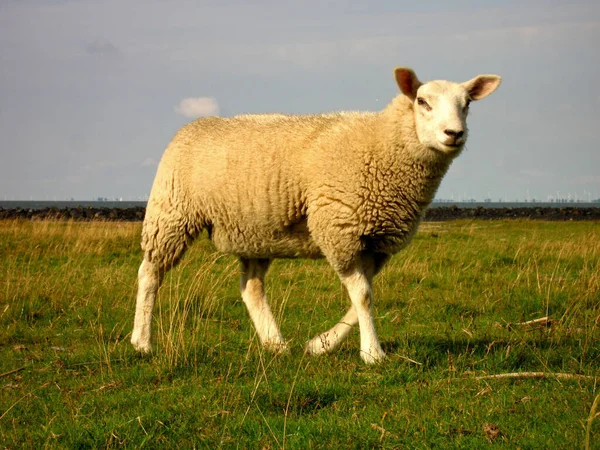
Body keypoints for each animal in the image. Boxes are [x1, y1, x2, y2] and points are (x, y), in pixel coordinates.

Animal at [131, 67, 502, 364]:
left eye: (467, 104)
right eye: (423, 102)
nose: (454, 134)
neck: (383, 146)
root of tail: (192, 125)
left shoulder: (376, 243)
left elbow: (362, 298)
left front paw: (320, 345)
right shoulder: (341, 231)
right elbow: (363, 296)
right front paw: (373, 354)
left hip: (254, 231)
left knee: (251, 287)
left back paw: (275, 344)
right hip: (171, 214)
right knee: (150, 273)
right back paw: (142, 342)